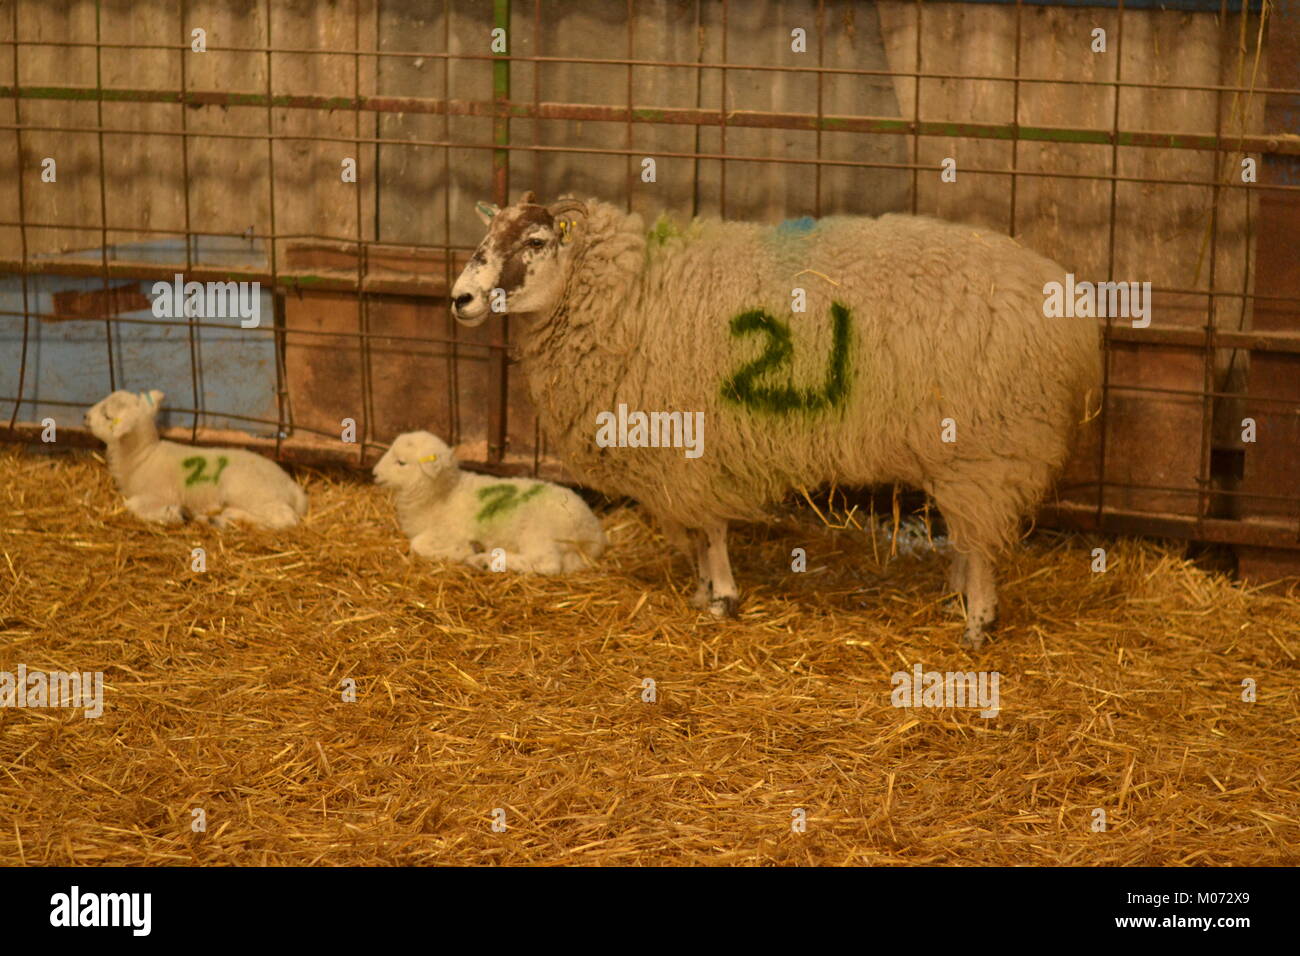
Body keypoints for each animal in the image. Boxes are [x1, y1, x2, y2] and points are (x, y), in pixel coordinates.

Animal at [86, 392, 309, 535]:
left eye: (107, 415)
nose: (85, 416)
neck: (142, 457)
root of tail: (291, 485)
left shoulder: (159, 493)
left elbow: (131, 505)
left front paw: (174, 514)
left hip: (250, 493)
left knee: (285, 519)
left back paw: (233, 518)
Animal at [371, 434, 603, 574]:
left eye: (401, 462)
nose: (374, 474)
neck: (442, 495)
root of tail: (593, 531)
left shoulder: (450, 531)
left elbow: (417, 544)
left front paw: (462, 551)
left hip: (540, 531)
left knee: (546, 564)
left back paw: (486, 560)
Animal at [447, 189, 1097, 647]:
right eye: (487, 234)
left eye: (535, 242)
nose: (460, 299)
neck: (631, 295)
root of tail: (1063, 298)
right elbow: (698, 535)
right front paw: (703, 593)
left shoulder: (690, 444)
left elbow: (709, 531)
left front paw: (720, 599)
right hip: (965, 452)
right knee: (970, 534)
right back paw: (957, 598)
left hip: (991, 442)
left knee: (982, 542)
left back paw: (977, 621)